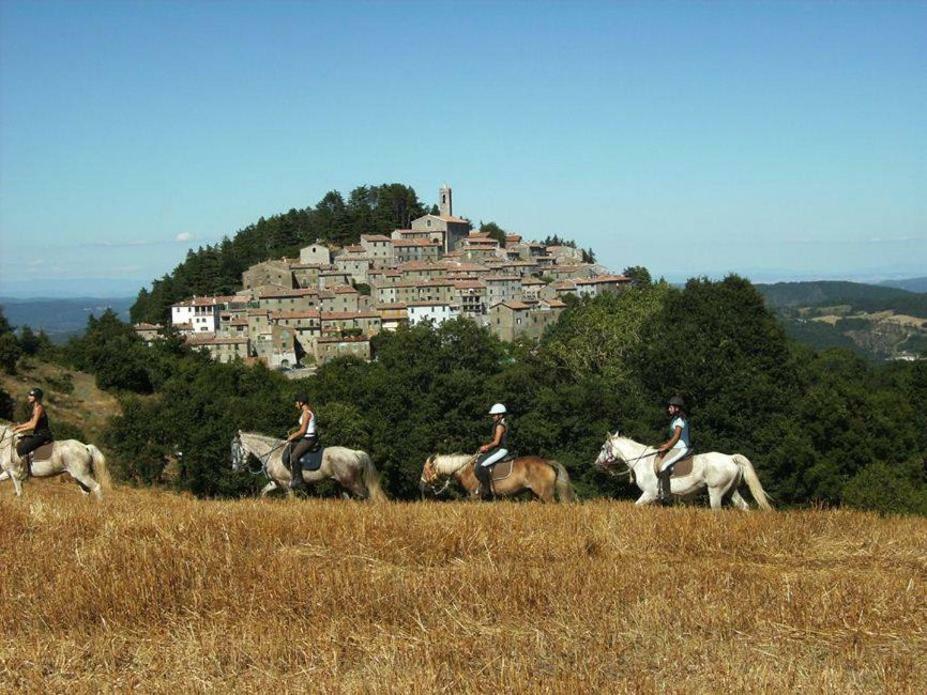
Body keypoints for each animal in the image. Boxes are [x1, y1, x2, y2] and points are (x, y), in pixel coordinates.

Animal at [236, 430, 392, 500]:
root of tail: (355, 453)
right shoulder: (275, 482)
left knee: (366, 495)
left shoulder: (285, 483)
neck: (274, 454)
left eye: (235, 448)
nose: (237, 468)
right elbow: (263, 492)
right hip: (342, 484)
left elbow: (291, 500)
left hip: (351, 482)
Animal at [418, 454, 572, 502]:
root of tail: (546, 462)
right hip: (535, 495)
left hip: (546, 494)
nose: (421, 485)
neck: (465, 469)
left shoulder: (475, 496)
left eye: (425, 470)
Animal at [600, 430, 772, 512]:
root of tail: (731, 458)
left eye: (602, 448)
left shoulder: (649, 493)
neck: (643, 461)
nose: (597, 463)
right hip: (731, 490)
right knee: (744, 507)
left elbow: (636, 506)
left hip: (716, 491)